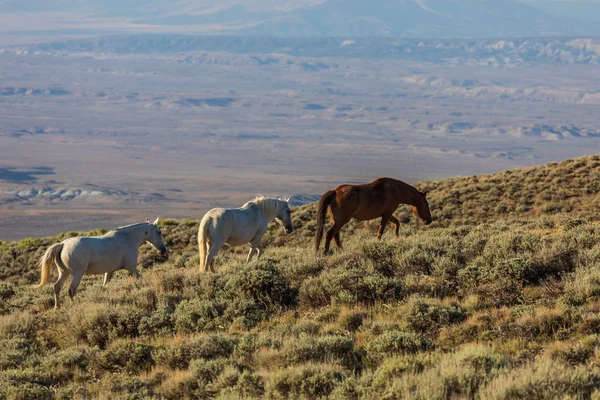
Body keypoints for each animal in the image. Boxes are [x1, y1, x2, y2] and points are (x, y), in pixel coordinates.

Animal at [35, 219, 166, 310]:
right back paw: (73, 305)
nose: (163, 250)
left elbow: (105, 285)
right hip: (77, 274)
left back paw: (57, 307)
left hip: (64, 273)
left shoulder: (109, 271)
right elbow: (139, 278)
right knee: (71, 290)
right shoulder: (131, 267)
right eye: (159, 232)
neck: (128, 238)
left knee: (57, 287)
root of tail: (62, 244)